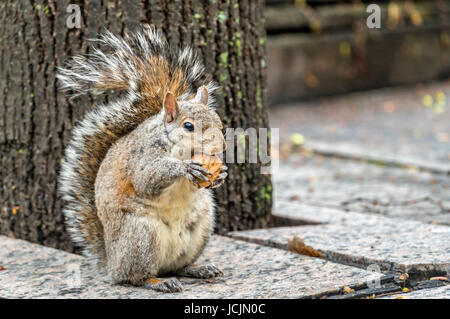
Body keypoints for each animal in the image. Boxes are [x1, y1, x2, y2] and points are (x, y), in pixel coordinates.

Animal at [57, 26, 229, 294]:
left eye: (219, 123)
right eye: (188, 126)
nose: (219, 147)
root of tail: (112, 264)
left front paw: (221, 175)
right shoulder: (142, 156)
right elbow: (146, 179)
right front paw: (185, 168)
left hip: (200, 228)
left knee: (178, 266)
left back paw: (198, 269)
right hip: (141, 235)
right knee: (135, 277)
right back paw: (158, 282)